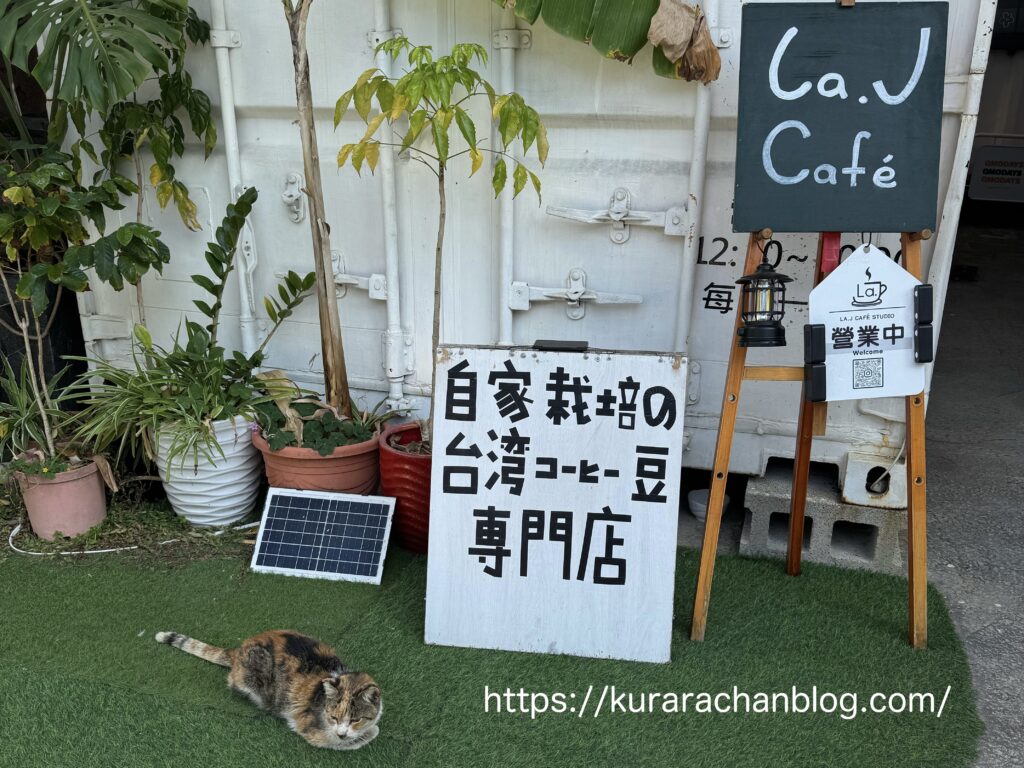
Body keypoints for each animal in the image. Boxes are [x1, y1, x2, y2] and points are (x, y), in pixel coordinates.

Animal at [155, 629, 382, 751]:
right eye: (334, 717)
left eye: (355, 719)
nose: (342, 732)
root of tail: (239, 649)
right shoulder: (312, 731)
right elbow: (355, 738)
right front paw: (362, 735)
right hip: (258, 675)